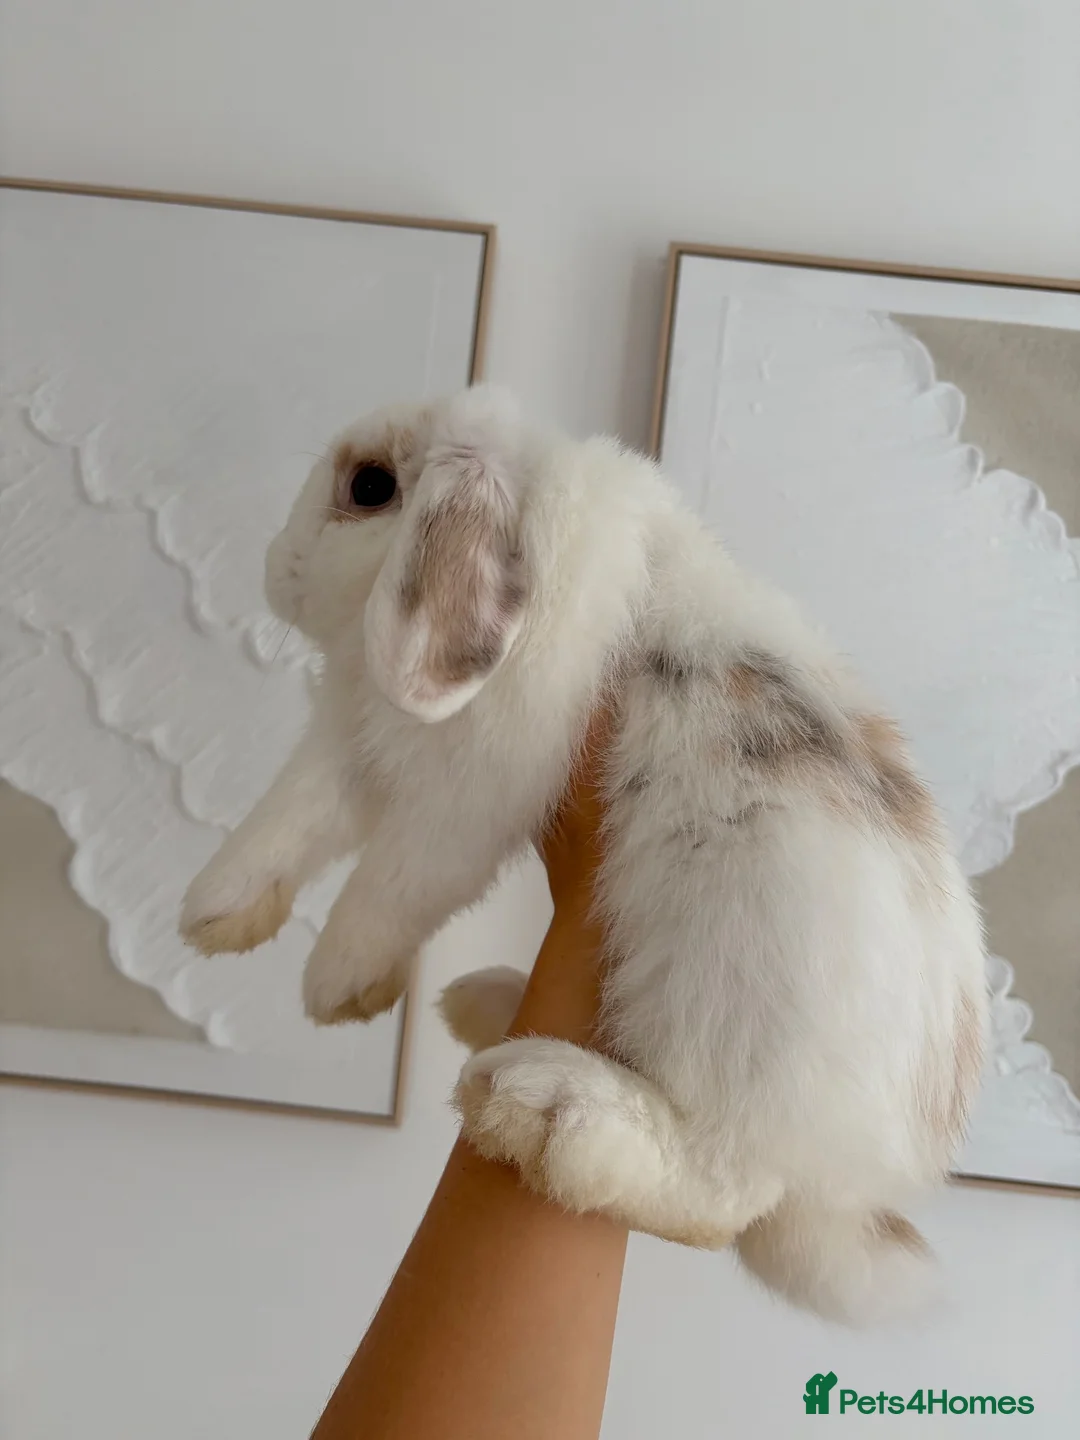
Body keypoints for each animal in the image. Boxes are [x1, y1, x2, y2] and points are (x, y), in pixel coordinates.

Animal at [180, 383, 988, 1324]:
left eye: (371, 486)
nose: (277, 570)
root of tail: (862, 1181)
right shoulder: (351, 745)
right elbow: (293, 811)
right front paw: (215, 909)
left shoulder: (471, 787)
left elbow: (396, 880)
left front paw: (338, 978)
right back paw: (487, 1005)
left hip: (739, 987)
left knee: (725, 1191)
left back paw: (547, 1106)